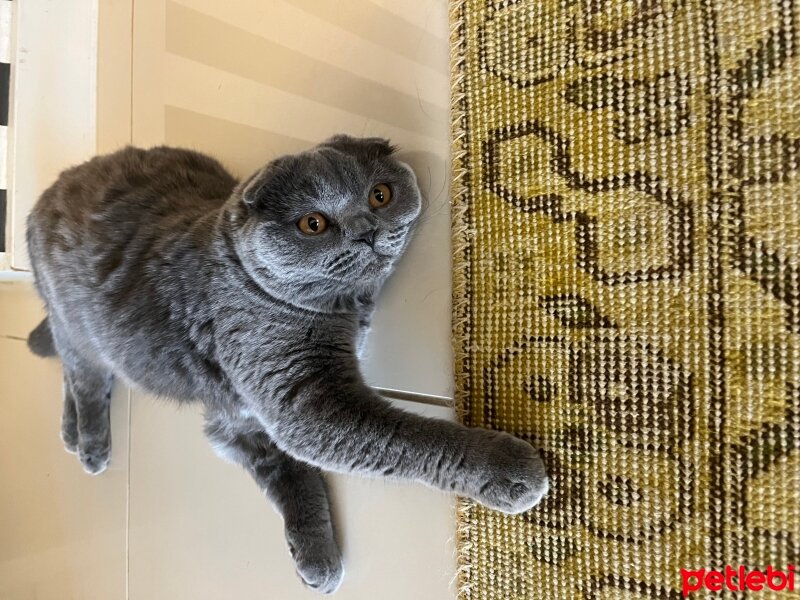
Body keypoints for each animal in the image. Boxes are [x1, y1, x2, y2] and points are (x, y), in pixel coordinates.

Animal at [26, 137, 552, 596]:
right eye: (313, 224)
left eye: (379, 194)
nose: (366, 229)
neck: (345, 309)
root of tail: (42, 198)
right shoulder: (298, 399)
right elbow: (407, 440)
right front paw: (505, 470)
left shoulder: (247, 416)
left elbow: (286, 472)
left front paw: (314, 555)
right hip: (79, 324)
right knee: (83, 371)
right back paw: (91, 445)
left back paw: (71, 435)